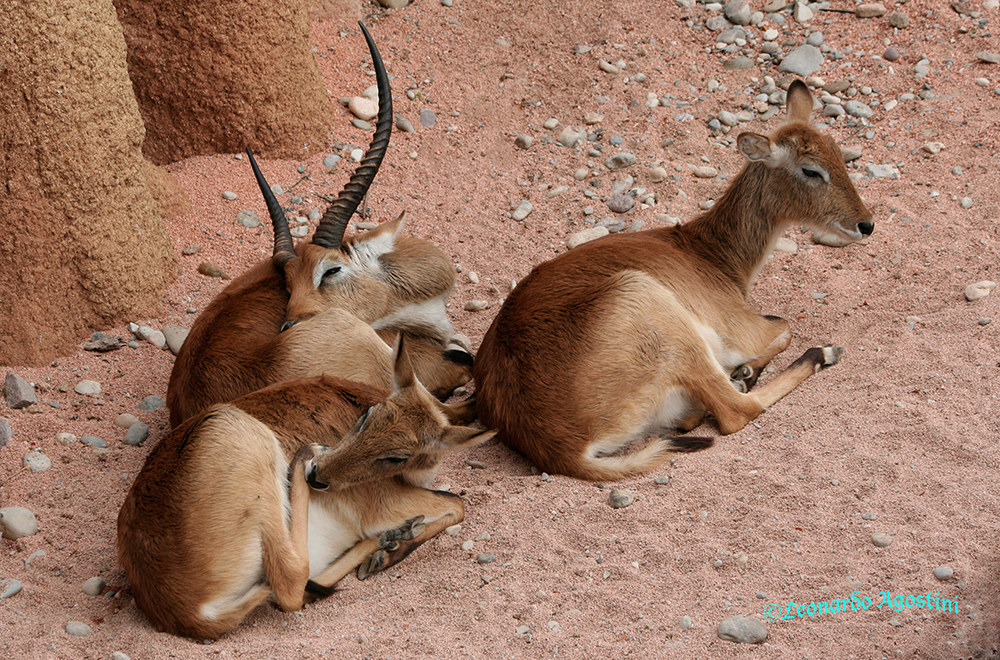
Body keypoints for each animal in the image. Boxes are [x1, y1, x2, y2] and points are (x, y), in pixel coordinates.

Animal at [119, 337, 494, 640]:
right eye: (366, 416)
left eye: (396, 456)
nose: (319, 476)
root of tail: (186, 612)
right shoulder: (384, 504)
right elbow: (458, 504)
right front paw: (392, 546)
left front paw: (391, 546)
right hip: (239, 433)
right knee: (290, 583)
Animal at [473, 80, 874, 481]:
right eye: (811, 170)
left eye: (839, 153)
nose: (865, 224)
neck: (709, 252)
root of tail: (561, 448)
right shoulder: (743, 329)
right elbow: (785, 327)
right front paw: (746, 370)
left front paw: (745, 371)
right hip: (658, 313)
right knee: (736, 411)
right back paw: (816, 355)